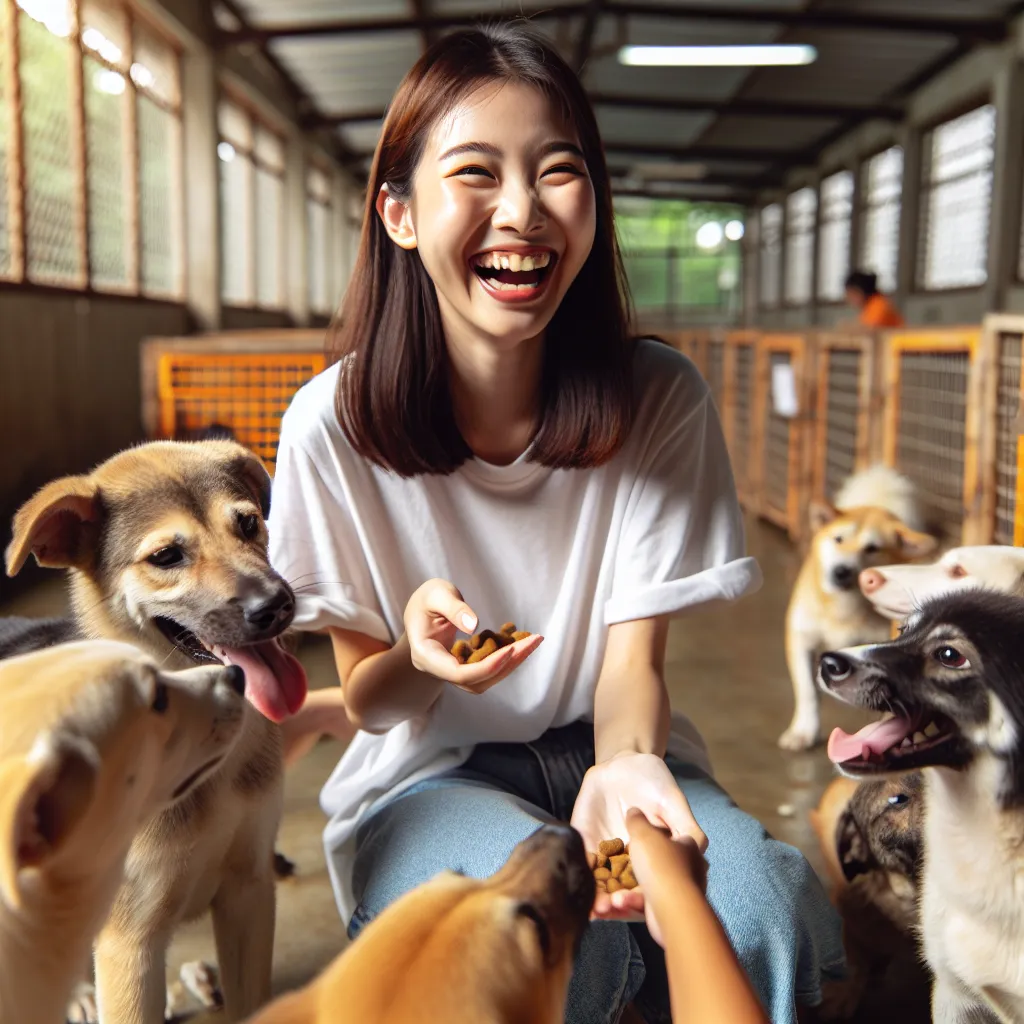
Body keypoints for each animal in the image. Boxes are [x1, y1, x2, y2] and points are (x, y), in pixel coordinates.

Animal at [774, 468, 937, 749]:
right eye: (838, 539)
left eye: (872, 548)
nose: (841, 571)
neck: (844, 609)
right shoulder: (802, 637)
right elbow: (807, 691)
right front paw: (804, 731)